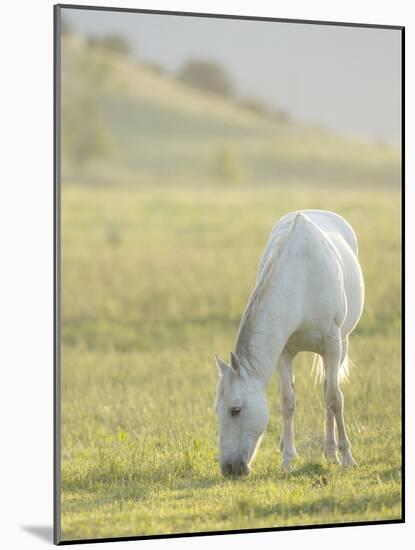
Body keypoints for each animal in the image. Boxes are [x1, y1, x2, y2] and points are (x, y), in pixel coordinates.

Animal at [216, 209, 366, 476]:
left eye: (235, 410)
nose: (229, 468)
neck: (301, 280)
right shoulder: (283, 353)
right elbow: (288, 401)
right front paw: (287, 459)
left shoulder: (332, 345)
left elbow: (335, 398)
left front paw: (347, 456)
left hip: (342, 344)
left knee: (328, 391)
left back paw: (331, 451)